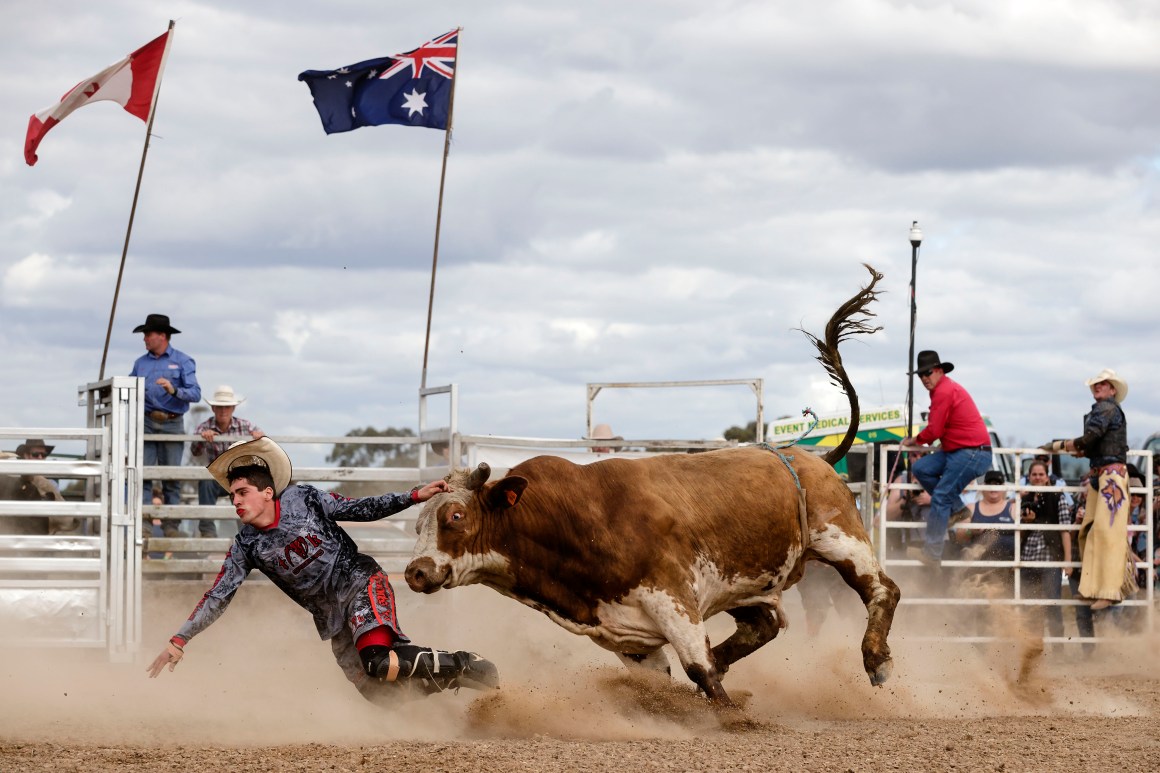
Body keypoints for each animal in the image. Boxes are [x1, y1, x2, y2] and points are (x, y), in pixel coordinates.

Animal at [403, 264, 900, 710]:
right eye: (417, 524)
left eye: (456, 516)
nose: (415, 572)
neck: (571, 520)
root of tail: (813, 458)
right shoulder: (627, 637)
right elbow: (666, 682)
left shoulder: (672, 598)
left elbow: (699, 668)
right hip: (748, 583)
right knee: (764, 625)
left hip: (841, 538)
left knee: (883, 590)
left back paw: (877, 662)